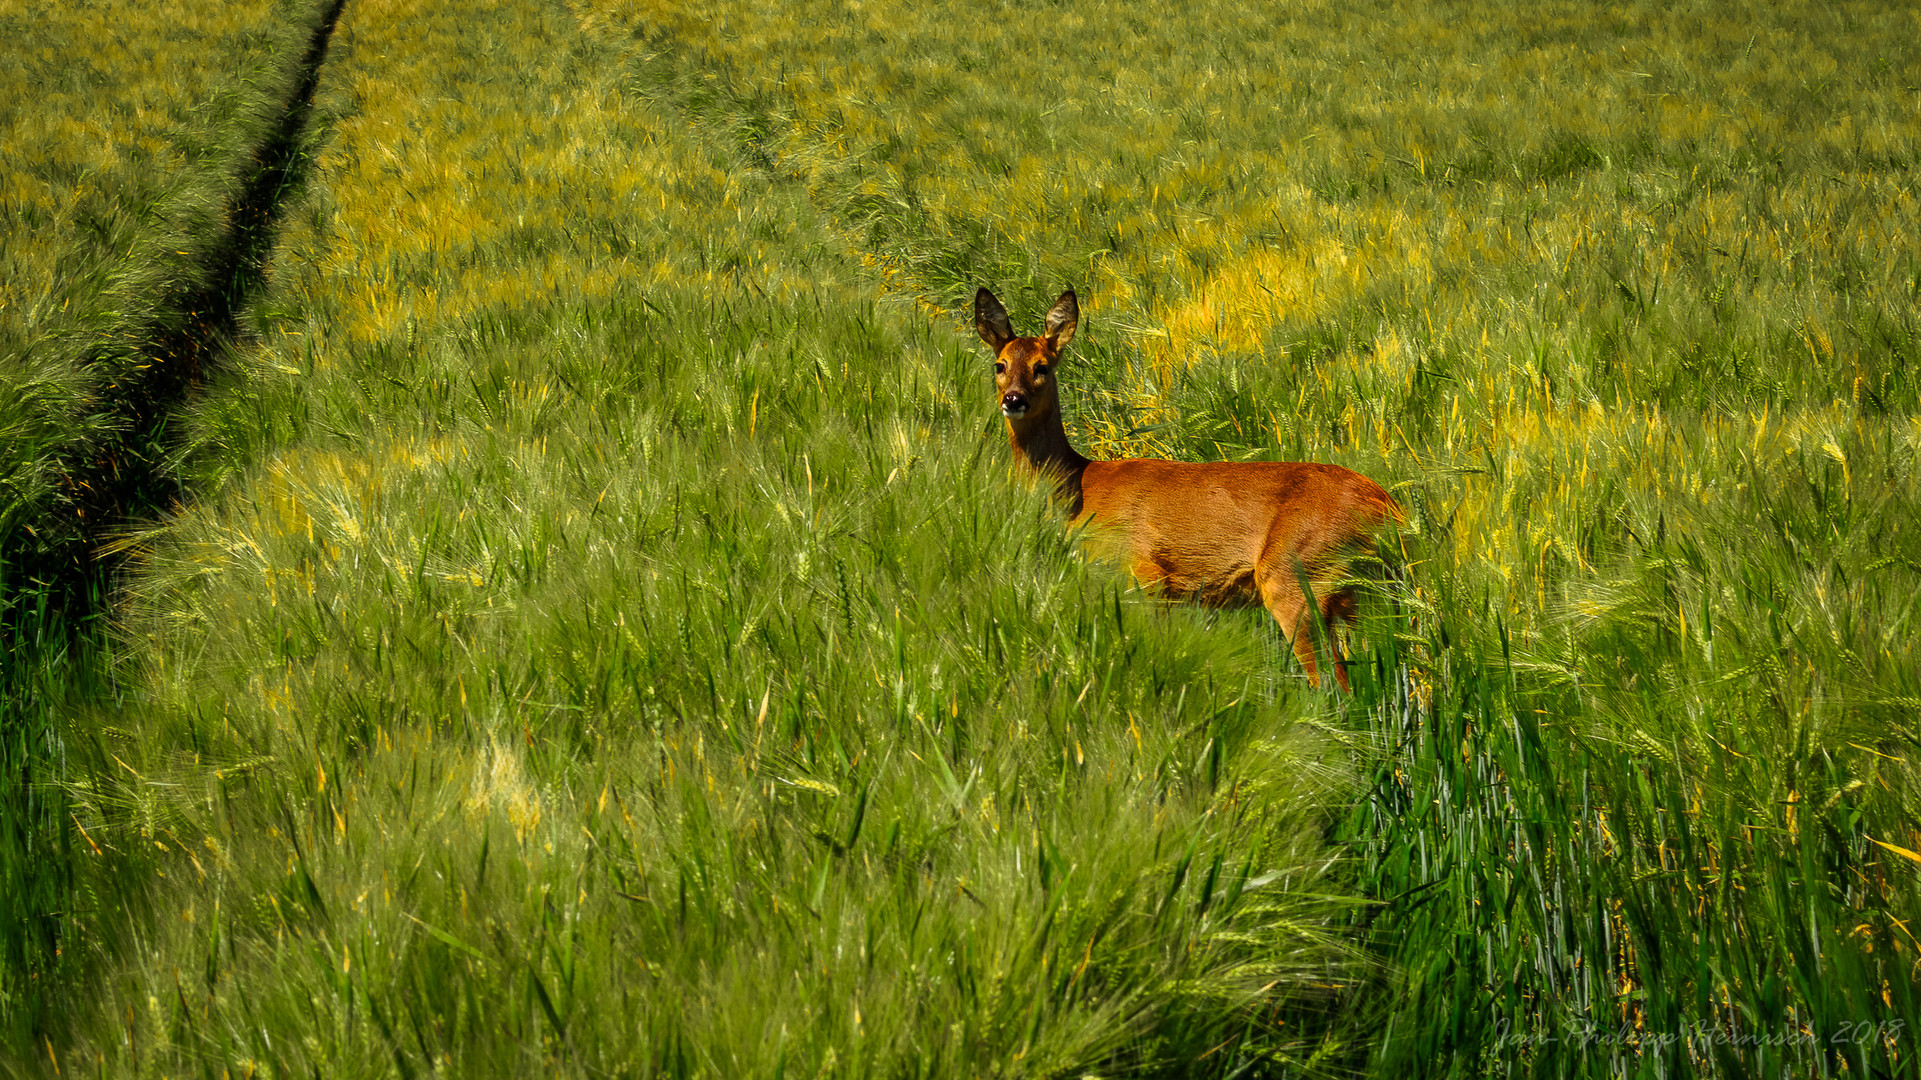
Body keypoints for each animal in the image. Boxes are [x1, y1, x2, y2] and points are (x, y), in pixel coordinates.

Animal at [983, 286, 1406, 687]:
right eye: (999, 365)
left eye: (1042, 367)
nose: (1014, 399)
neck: (1078, 490)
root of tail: (1388, 505)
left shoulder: (1145, 573)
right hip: (1357, 592)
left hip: (1295, 573)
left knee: (1332, 681)